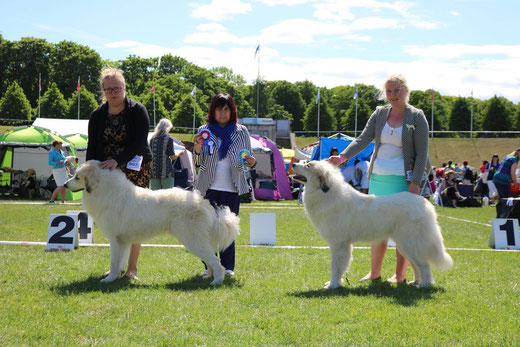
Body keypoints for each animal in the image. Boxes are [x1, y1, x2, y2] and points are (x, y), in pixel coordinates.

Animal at [65, 160, 242, 286]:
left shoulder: (116, 240)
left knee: (216, 262)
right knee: (211, 259)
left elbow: (114, 261)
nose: (65, 184)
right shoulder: (124, 241)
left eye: (77, 177)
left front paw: (109, 279)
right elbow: (121, 261)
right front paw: (116, 276)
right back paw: (209, 277)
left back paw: (216, 281)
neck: (107, 190)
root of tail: (203, 202)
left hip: (192, 240)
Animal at [294, 162, 452, 290]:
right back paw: (416, 282)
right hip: (405, 245)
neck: (326, 194)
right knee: (415, 264)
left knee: (424, 264)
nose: (294, 163)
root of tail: (425, 204)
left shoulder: (338, 244)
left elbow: (336, 266)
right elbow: (341, 266)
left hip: (410, 243)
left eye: (308, 165)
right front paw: (336, 283)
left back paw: (424, 284)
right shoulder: (343, 245)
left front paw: (333, 285)